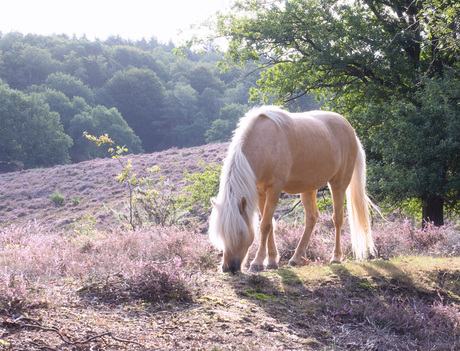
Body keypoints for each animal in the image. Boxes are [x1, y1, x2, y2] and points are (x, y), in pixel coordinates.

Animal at [210, 106, 376, 274]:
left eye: (240, 232)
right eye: (221, 233)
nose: (228, 268)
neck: (264, 143)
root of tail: (351, 131)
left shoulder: (275, 189)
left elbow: (265, 225)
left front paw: (257, 262)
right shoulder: (261, 191)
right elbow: (270, 224)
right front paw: (271, 261)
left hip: (338, 184)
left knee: (338, 218)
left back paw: (335, 257)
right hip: (309, 187)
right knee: (312, 218)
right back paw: (296, 258)